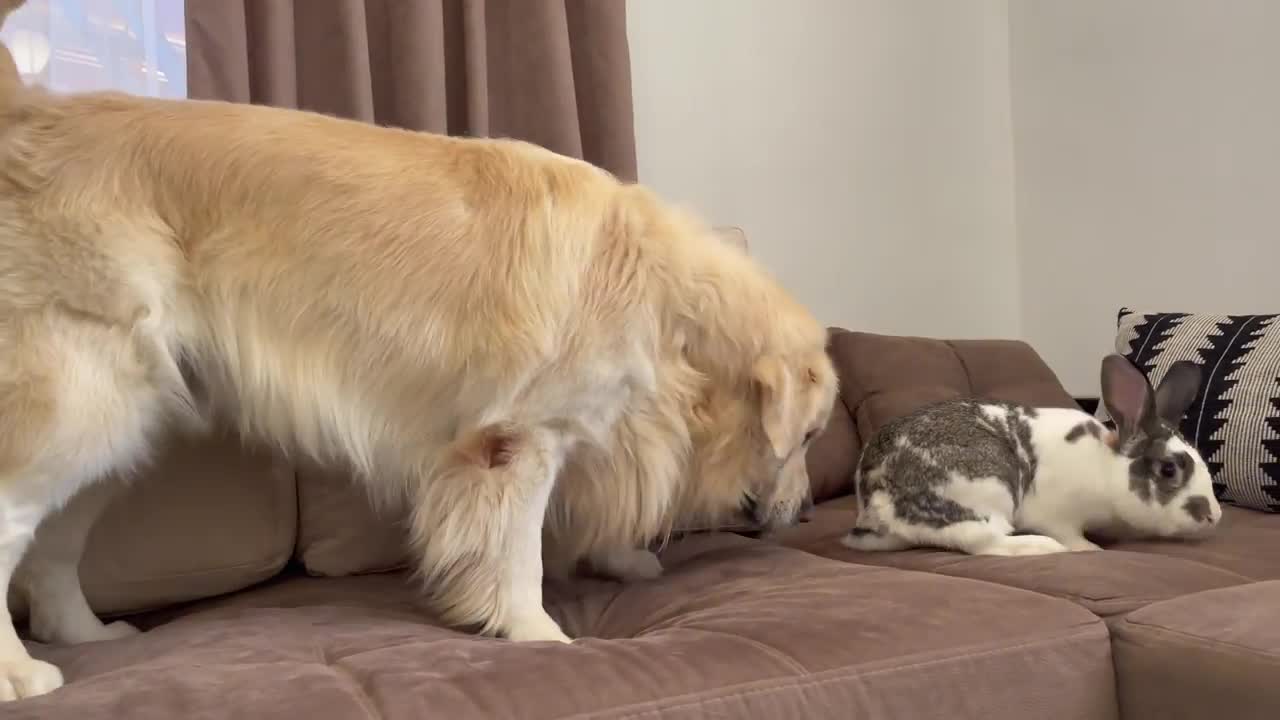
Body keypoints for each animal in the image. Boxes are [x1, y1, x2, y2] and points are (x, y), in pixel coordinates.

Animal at [0, 0, 834, 696]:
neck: (663, 286)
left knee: (53, 547)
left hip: (128, 423)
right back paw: (22, 676)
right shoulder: (515, 439)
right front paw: (537, 633)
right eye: (810, 437)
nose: (798, 514)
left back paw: (86, 635)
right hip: (83, 399)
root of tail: (30, 111)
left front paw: (619, 561)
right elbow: (518, 551)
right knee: (12, 525)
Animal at [839, 353, 1218, 556]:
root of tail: (877, 502)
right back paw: (1041, 547)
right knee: (984, 541)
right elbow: (1070, 535)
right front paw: (1089, 550)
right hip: (991, 489)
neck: (1106, 468)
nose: (1213, 517)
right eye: (1168, 469)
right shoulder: (1057, 516)